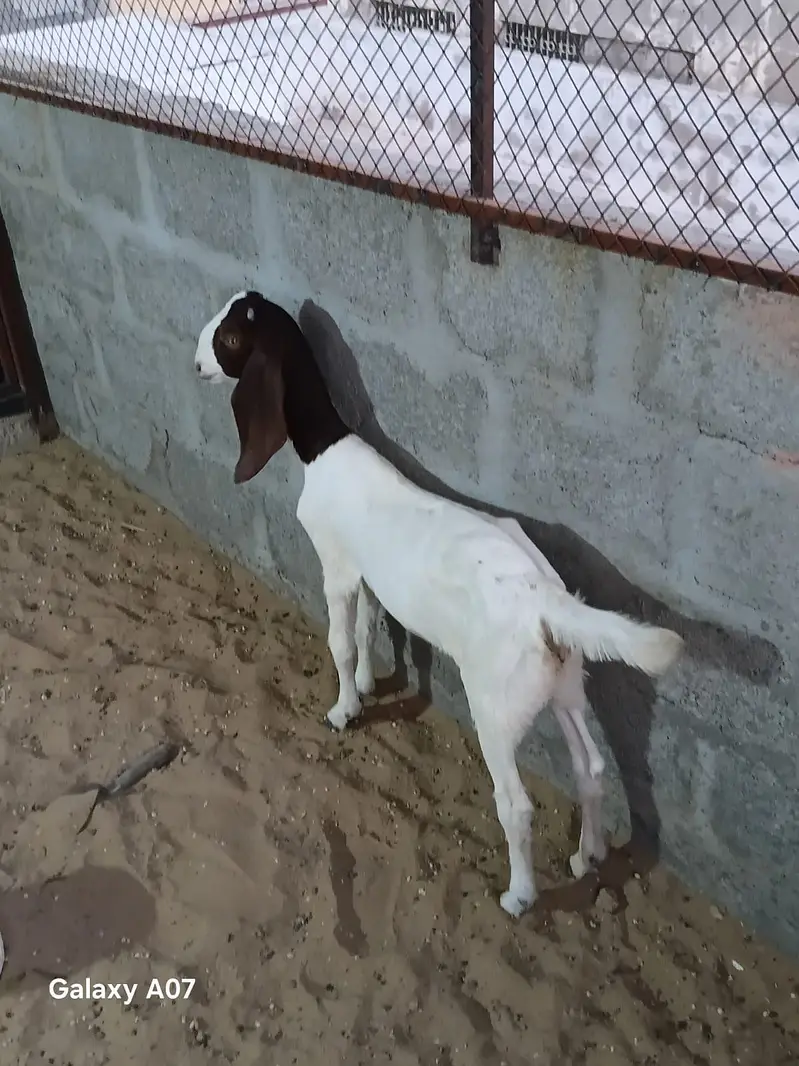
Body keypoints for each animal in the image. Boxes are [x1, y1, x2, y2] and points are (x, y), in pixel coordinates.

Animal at [193, 291, 684, 917]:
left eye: (231, 339)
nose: (196, 363)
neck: (327, 448)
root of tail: (547, 604)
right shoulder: (370, 576)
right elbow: (369, 631)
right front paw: (368, 689)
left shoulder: (338, 566)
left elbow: (340, 642)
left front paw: (342, 709)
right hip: (563, 686)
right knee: (590, 766)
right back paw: (587, 855)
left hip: (495, 706)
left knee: (517, 804)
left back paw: (520, 895)